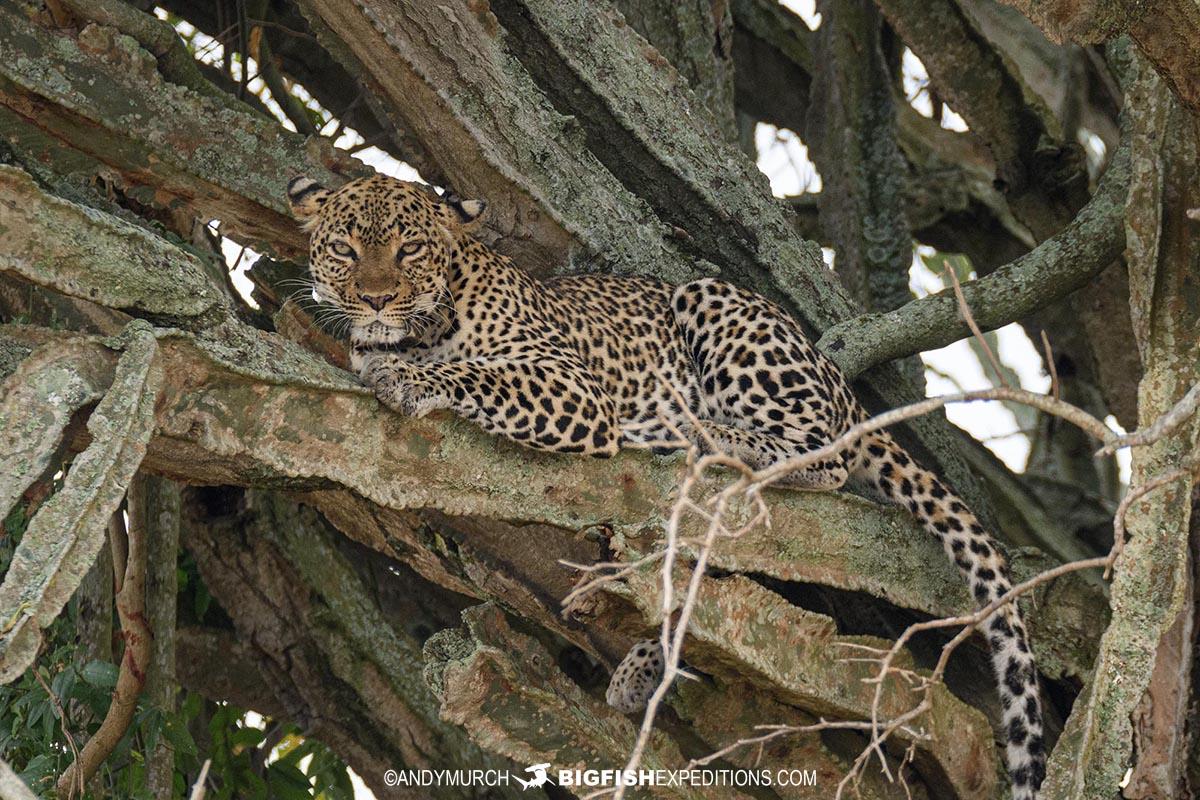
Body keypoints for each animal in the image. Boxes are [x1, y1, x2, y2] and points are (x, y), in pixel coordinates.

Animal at [285, 172, 1046, 796]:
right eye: (344, 249)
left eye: (410, 249)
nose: (375, 300)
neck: (420, 328)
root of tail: (839, 377)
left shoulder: (572, 389)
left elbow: (477, 374)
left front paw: (410, 379)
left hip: (714, 305)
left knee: (821, 454)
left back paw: (701, 434)